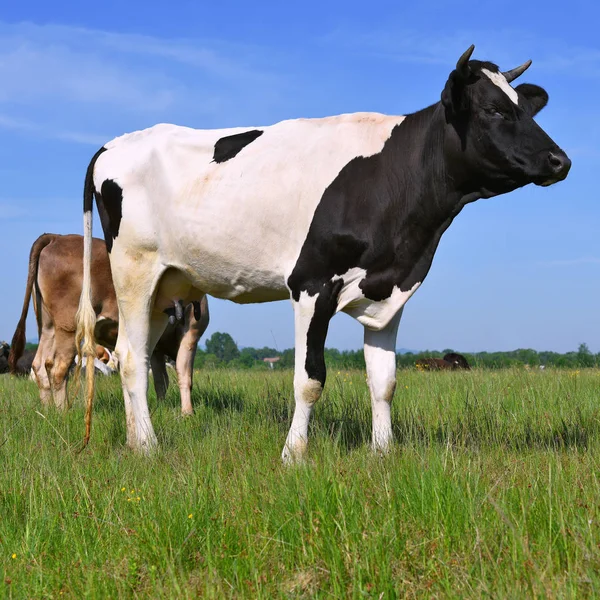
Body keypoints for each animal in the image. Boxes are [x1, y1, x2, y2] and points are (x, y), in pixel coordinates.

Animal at [7, 234, 211, 412]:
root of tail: (57, 237)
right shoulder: (191, 332)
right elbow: (184, 375)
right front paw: (187, 413)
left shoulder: (157, 347)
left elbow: (161, 381)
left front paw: (162, 409)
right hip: (69, 326)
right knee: (58, 368)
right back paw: (63, 413)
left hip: (48, 326)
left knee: (40, 365)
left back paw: (48, 411)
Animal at [77, 47, 568, 458]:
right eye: (493, 109)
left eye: (526, 108)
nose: (560, 160)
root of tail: (113, 144)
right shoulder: (312, 284)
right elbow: (309, 379)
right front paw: (293, 455)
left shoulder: (389, 286)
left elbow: (384, 380)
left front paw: (382, 454)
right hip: (134, 269)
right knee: (131, 360)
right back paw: (148, 447)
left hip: (168, 284)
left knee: (135, 352)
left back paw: (134, 439)